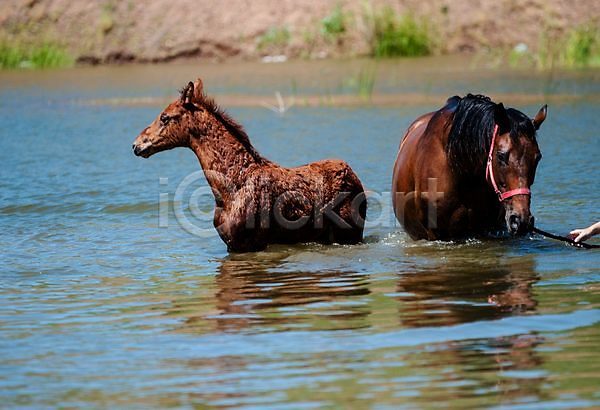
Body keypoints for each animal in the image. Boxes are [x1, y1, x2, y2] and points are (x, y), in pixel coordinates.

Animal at [132, 78, 366, 251]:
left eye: (165, 117)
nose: (137, 144)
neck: (227, 190)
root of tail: (354, 176)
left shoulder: (250, 244)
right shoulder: (231, 244)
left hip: (350, 233)